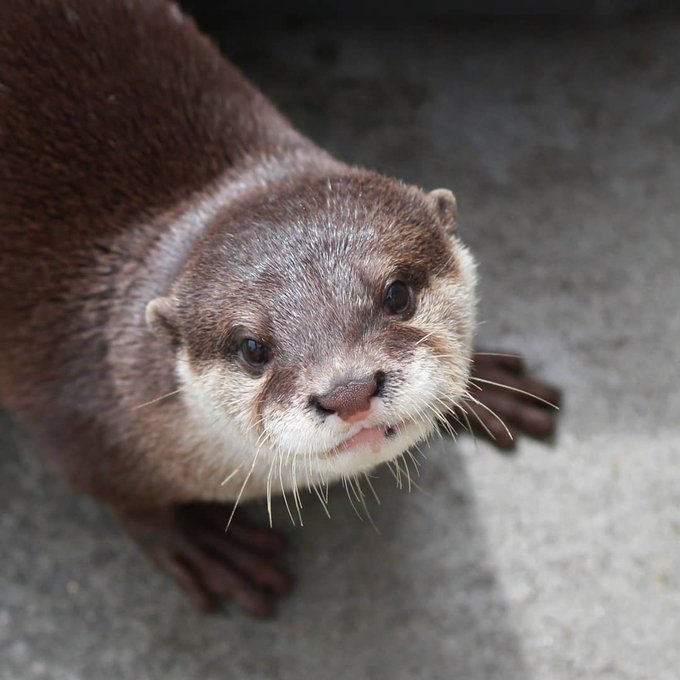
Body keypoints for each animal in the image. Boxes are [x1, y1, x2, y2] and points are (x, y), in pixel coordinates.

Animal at [0, 0, 556, 616]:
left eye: (397, 294)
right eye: (251, 348)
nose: (349, 392)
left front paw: (487, 384)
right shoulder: (73, 419)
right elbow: (120, 497)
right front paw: (196, 540)